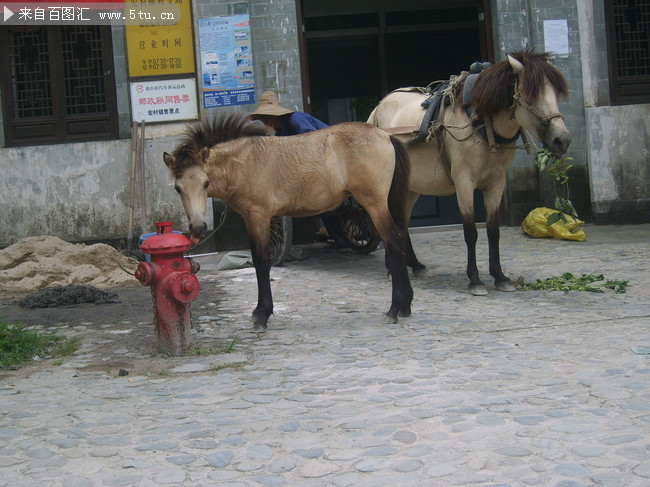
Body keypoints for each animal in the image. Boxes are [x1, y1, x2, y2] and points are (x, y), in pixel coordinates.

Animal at [162, 111, 410, 332]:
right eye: (178, 188)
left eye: (205, 183)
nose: (198, 227)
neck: (244, 164)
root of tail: (385, 136)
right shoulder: (250, 219)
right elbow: (256, 260)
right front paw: (258, 311)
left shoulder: (259, 216)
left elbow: (262, 261)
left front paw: (262, 315)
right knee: (400, 240)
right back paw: (406, 305)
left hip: (374, 205)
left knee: (393, 244)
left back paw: (394, 309)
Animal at [368, 51, 568, 296]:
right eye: (531, 95)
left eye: (556, 94)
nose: (562, 140)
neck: (482, 123)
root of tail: (380, 106)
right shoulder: (464, 182)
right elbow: (471, 231)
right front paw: (475, 280)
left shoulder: (496, 183)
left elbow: (493, 230)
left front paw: (500, 277)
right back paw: (391, 268)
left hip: (412, 186)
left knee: (402, 223)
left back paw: (415, 265)